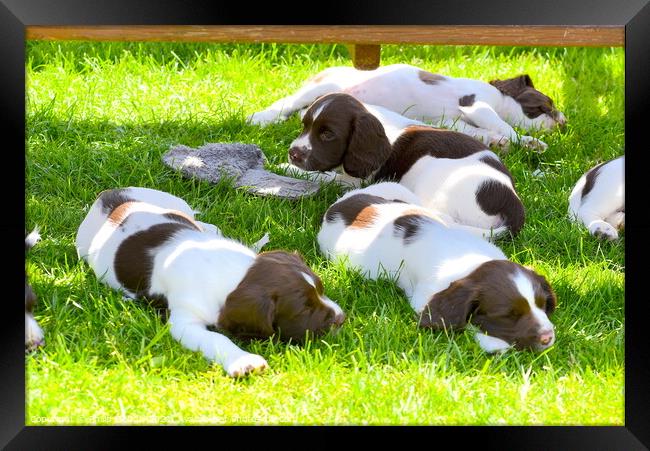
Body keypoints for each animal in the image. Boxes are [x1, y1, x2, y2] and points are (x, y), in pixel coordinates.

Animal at [76, 187, 344, 378]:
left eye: (321, 290)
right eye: (303, 309)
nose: (341, 319)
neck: (236, 272)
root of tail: (107, 195)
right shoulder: (184, 321)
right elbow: (217, 338)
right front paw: (244, 361)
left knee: (207, 225)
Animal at [248, 62, 560, 151]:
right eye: (546, 106)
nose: (563, 121)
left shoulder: (454, 121)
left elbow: (480, 132)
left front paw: (502, 142)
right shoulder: (476, 104)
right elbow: (502, 125)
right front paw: (525, 140)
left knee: (302, 112)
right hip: (321, 87)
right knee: (287, 104)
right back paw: (260, 118)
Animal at [286, 93, 524, 238]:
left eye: (328, 134)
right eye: (304, 126)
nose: (292, 153)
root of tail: (512, 204)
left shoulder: (354, 181)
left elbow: (322, 175)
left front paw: (287, 168)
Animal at [316, 183, 556, 354]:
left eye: (542, 305)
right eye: (508, 315)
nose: (548, 337)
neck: (473, 261)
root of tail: (337, 207)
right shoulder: (423, 299)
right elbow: (458, 322)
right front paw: (493, 342)